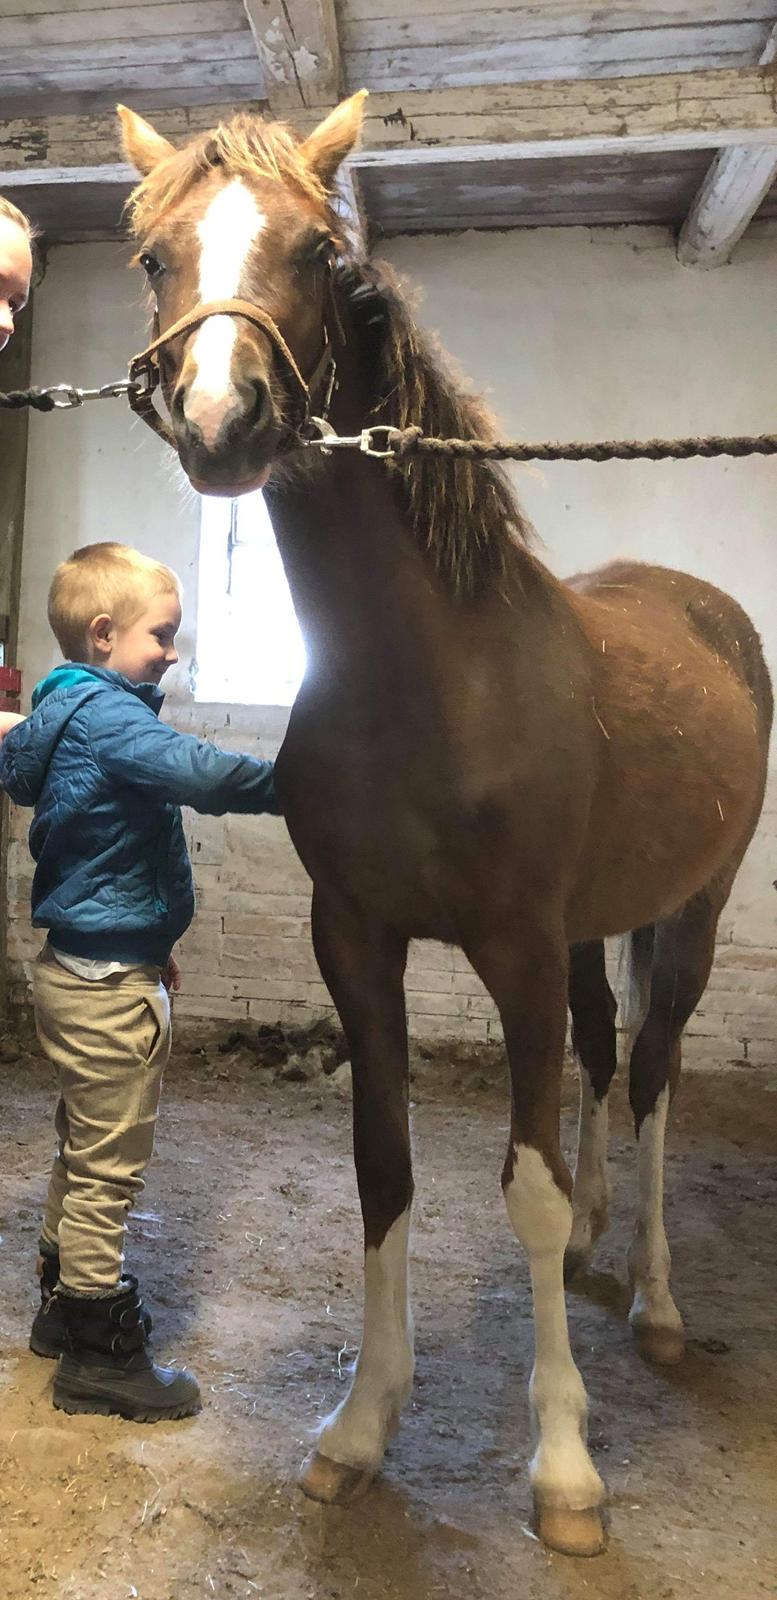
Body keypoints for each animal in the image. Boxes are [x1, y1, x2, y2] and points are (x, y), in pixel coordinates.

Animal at [118, 93, 773, 1557]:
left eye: (320, 253)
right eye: (155, 258)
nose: (223, 417)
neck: (425, 676)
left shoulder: (513, 949)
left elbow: (520, 1185)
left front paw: (566, 1468)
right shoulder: (358, 942)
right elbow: (387, 1167)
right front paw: (361, 1427)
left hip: (687, 918)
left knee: (653, 1076)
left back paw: (652, 1296)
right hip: (593, 933)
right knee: (602, 1059)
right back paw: (596, 1244)